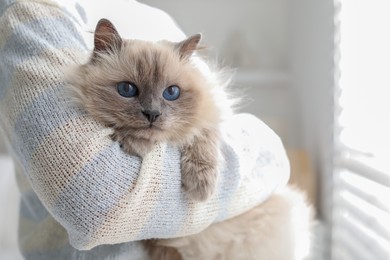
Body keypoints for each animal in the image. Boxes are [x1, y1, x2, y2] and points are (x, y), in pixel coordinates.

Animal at [67, 18, 310, 260]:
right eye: (127, 89)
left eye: (171, 93)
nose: (152, 114)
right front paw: (133, 141)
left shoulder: (210, 120)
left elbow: (201, 138)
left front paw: (201, 187)